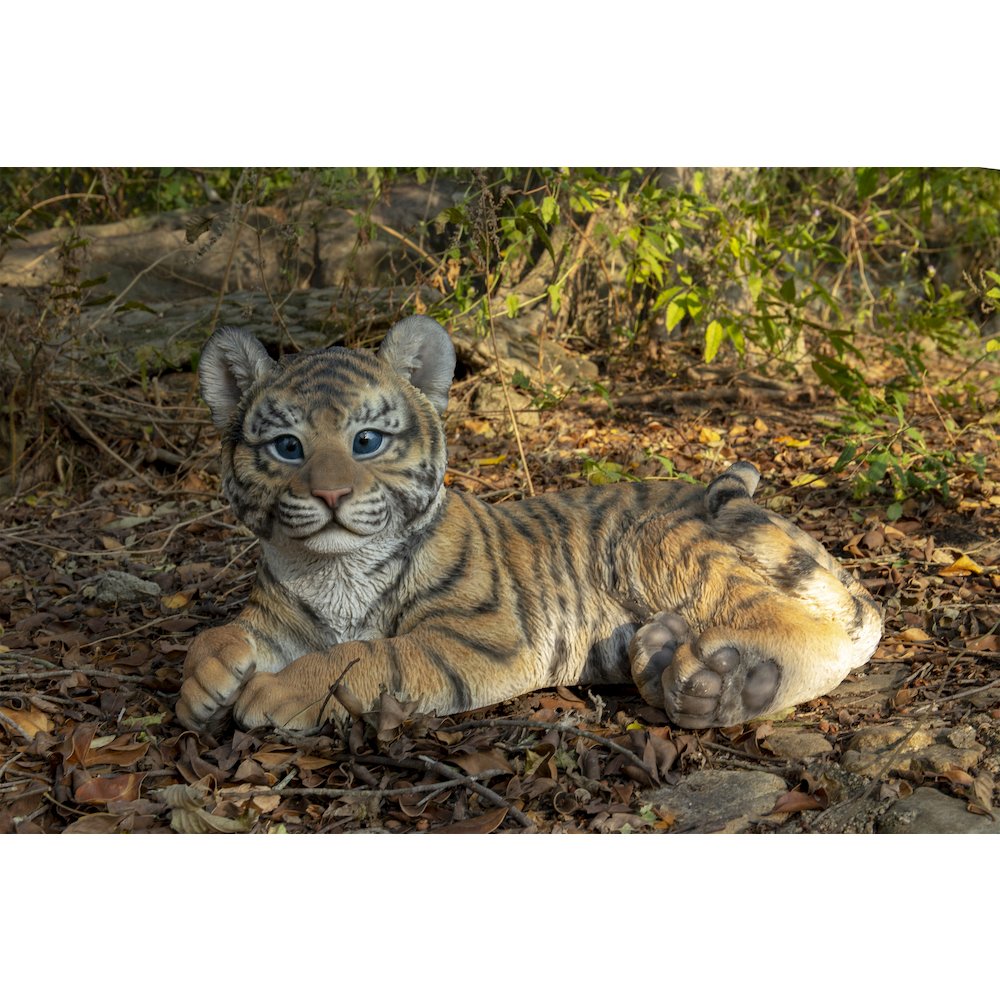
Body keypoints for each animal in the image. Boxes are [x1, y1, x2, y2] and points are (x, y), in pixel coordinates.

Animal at [176, 316, 883, 734]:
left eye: (367, 440)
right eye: (287, 447)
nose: (329, 494)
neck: (332, 568)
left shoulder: (477, 635)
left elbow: (365, 656)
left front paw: (272, 695)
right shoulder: (279, 618)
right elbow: (218, 633)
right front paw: (203, 686)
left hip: (660, 545)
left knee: (819, 633)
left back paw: (725, 682)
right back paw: (680, 669)